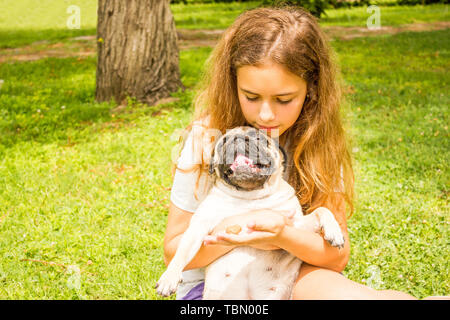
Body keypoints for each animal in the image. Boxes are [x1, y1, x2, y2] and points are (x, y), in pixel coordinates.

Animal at [156, 125, 344, 300]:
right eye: (223, 143)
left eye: (258, 138)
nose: (238, 139)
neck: (250, 196)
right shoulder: (199, 226)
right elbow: (181, 253)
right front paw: (169, 278)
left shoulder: (295, 224)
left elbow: (322, 210)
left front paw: (334, 231)